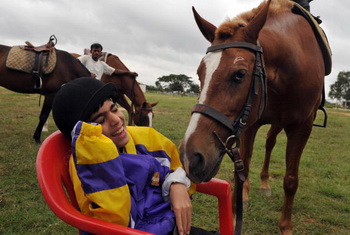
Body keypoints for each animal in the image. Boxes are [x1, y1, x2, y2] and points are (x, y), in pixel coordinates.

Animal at [179, 0, 330, 234]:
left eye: (239, 74)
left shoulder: (302, 127)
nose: (190, 157)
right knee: (258, 152)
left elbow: (291, 180)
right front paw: (235, 214)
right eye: (200, 73)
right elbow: (242, 168)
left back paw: (265, 184)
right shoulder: (250, 123)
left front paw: (286, 226)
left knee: (269, 143)